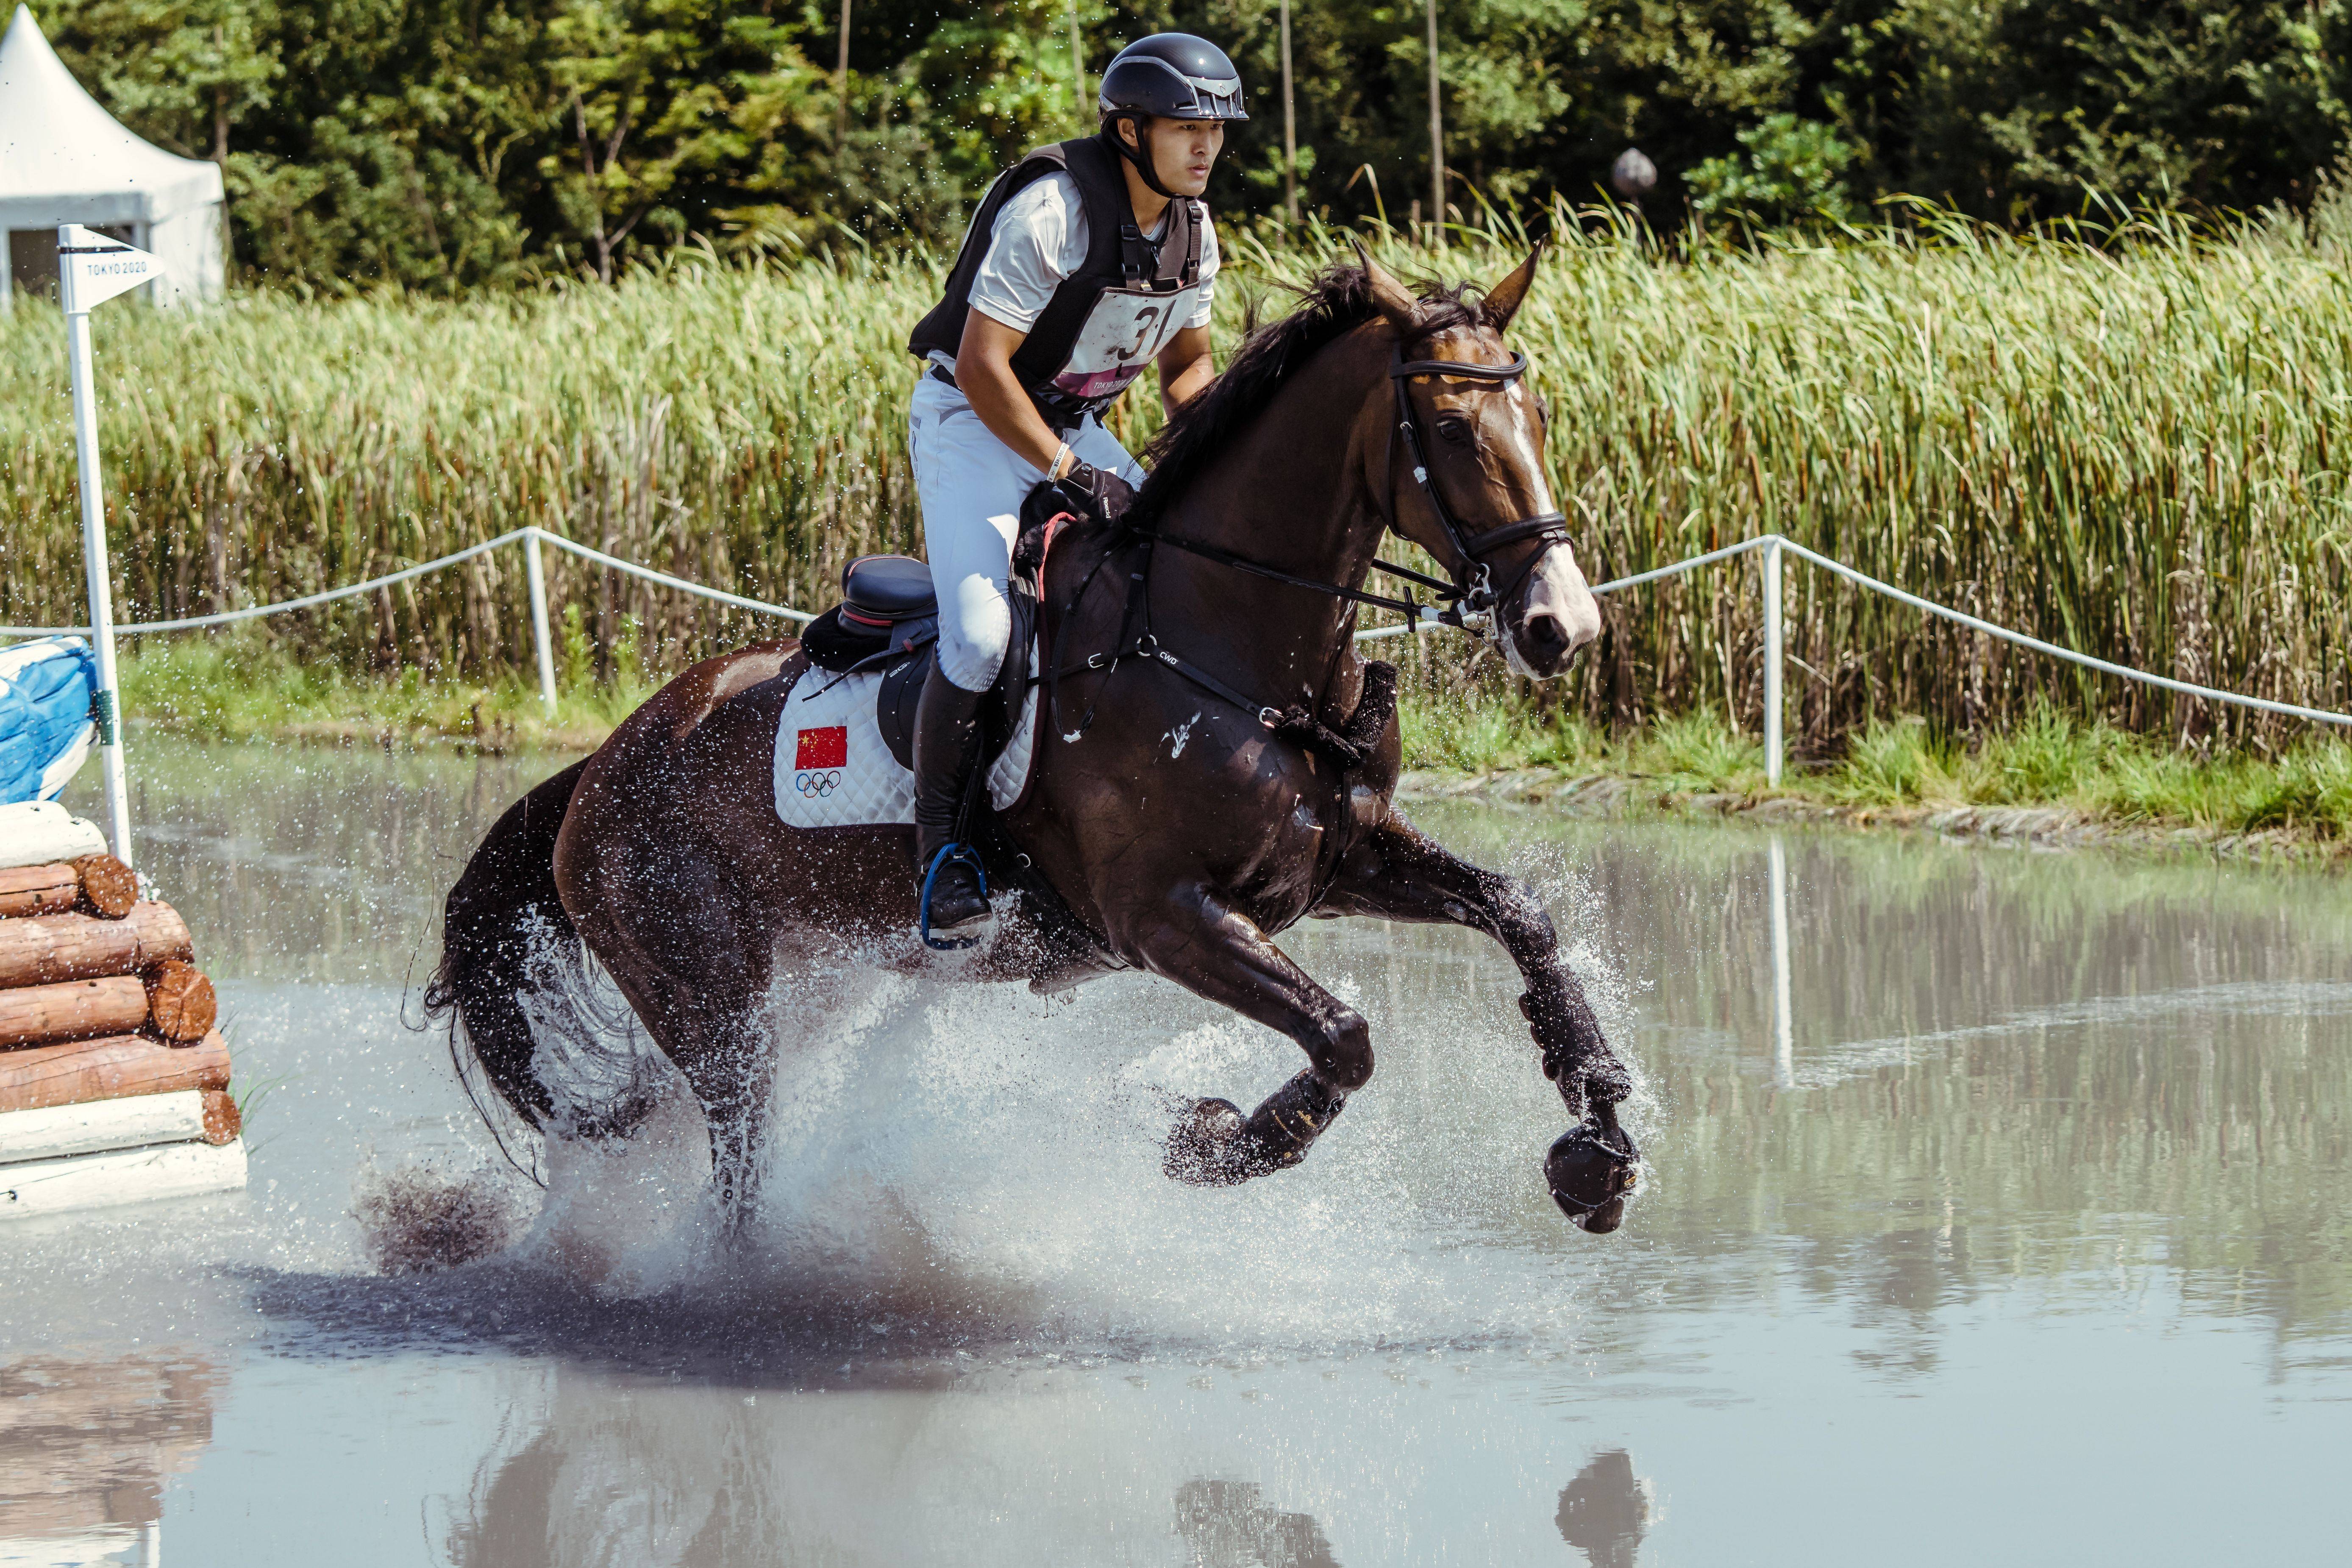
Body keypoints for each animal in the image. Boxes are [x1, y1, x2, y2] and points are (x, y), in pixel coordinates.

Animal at [423, 248, 1646, 1241]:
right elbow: (1342, 1035)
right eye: (1449, 431)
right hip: (714, 1003)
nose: (1561, 626)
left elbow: (1517, 913)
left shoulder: (1330, 865)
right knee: (731, 1158)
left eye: (1538, 419)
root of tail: (596, 769)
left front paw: (1596, 1139)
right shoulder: (1164, 917)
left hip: (801, 981)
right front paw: (1214, 1139)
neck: (1223, 639)